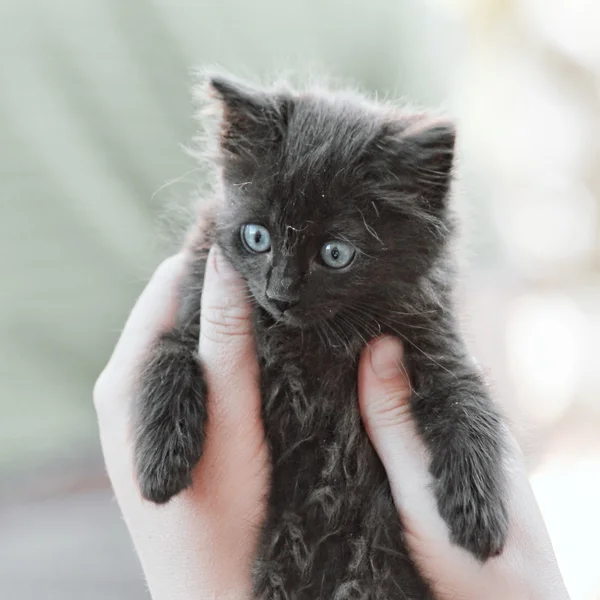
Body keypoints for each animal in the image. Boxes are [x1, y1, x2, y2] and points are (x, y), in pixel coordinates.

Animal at [134, 75, 508, 600]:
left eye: (335, 253)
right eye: (256, 237)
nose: (280, 295)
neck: (308, 342)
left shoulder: (433, 341)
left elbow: (469, 402)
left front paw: (478, 513)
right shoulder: (192, 308)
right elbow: (166, 353)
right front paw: (160, 464)